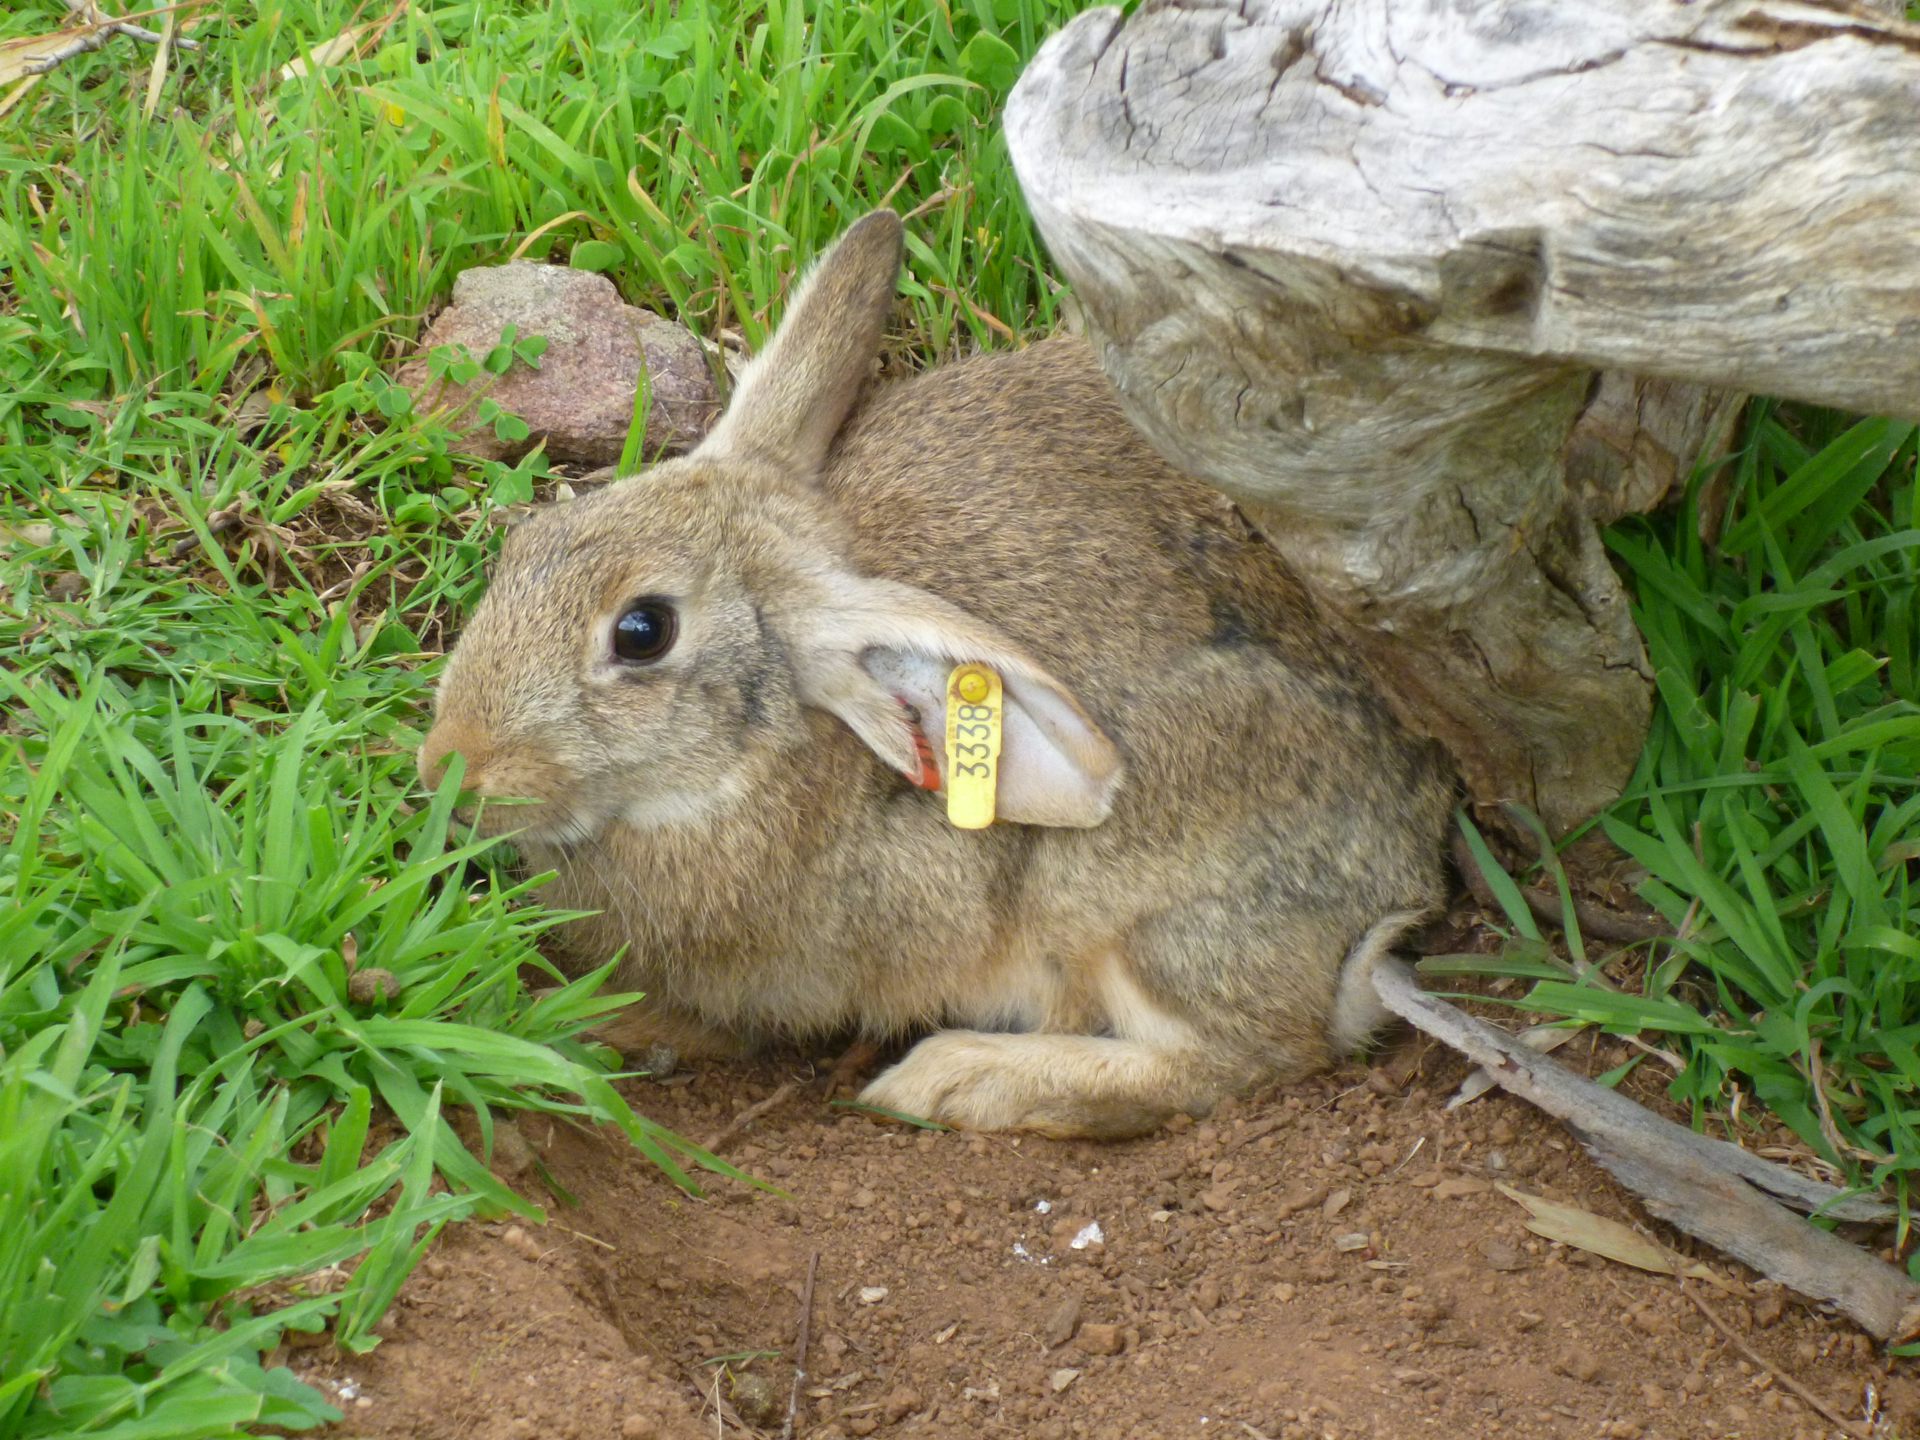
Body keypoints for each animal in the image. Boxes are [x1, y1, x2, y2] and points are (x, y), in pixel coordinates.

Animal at [417, 209, 1455, 1138]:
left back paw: (955, 1080)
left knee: (1240, 1057)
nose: (451, 770)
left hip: (1134, 895)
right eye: (528, 543)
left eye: (642, 631)